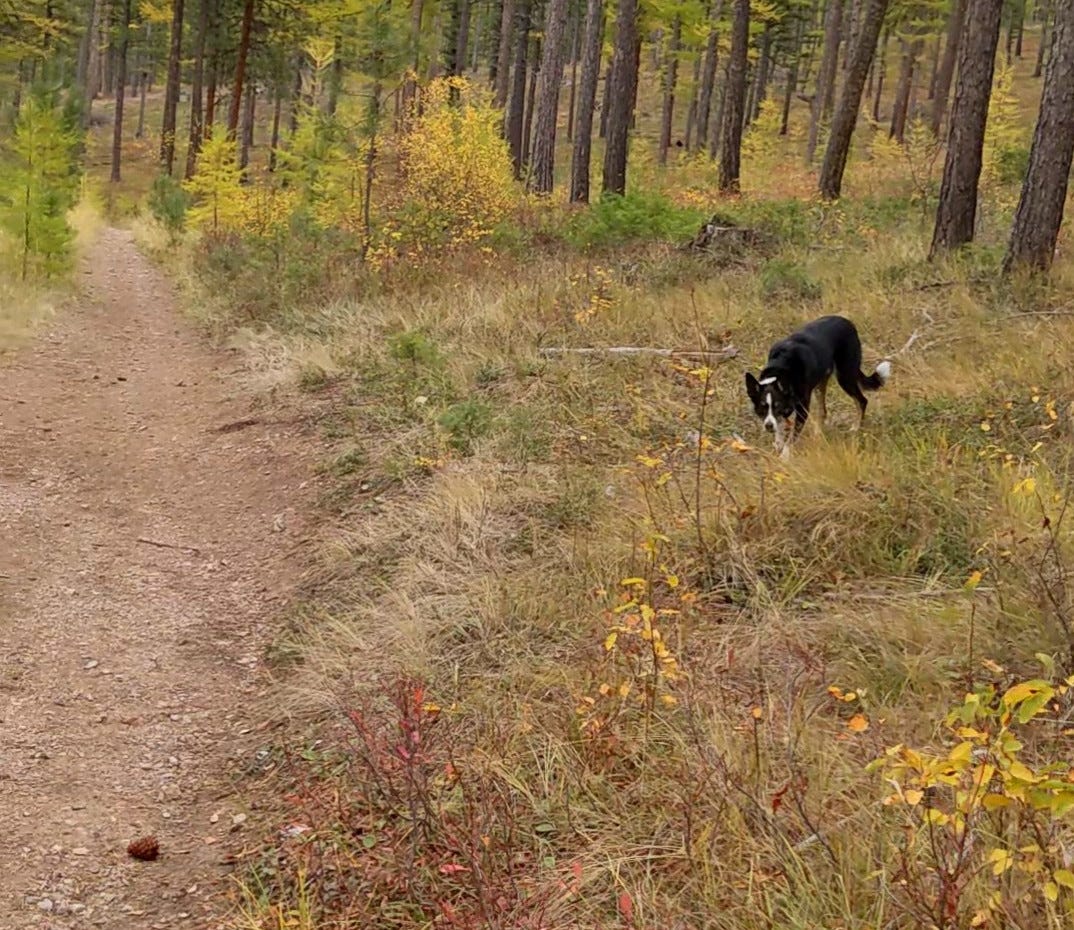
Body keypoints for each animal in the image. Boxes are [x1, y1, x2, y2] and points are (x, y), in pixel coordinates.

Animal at [747, 313, 889, 455]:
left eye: (778, 407)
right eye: (762, 408)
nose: (768, 426)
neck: (781, 367)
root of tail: (847, 322)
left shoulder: (802, 410)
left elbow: (792, 438)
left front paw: (784, 455)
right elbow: (780, 427)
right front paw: (778, 444)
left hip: (845, 376)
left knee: (862, 401)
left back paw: (856, 428)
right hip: (820, 384)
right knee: (823, 411)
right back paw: (818, 434)